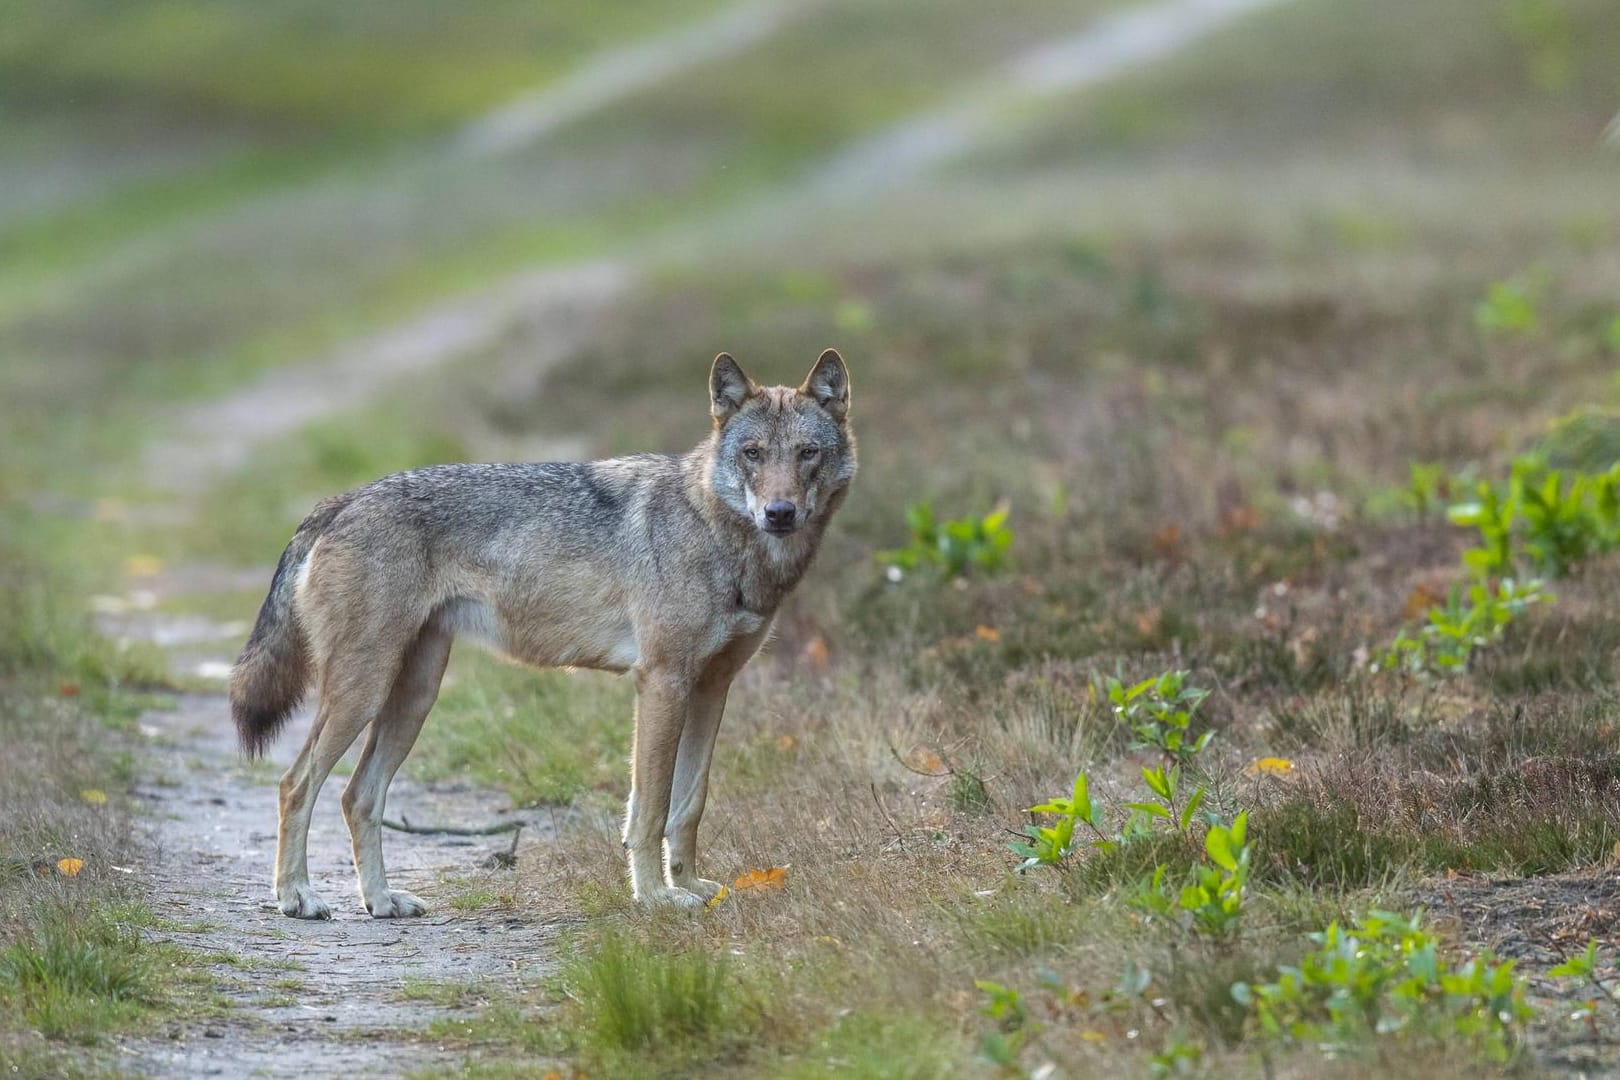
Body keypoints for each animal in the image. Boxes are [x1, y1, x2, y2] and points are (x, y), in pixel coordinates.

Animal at [230, 351, 861, 919]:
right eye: (753, 454)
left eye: (807, 453)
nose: (779, 513)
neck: (720, 534)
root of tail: (341, 500)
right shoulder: (661, 683)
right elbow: (650, 808)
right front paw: (656, 898)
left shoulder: (711, 688)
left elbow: (689, 803)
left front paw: (693, 887)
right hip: (363, 691)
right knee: (294, 783)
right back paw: (297, 898)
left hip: (413, 697)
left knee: (357, 794)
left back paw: (381, 902)